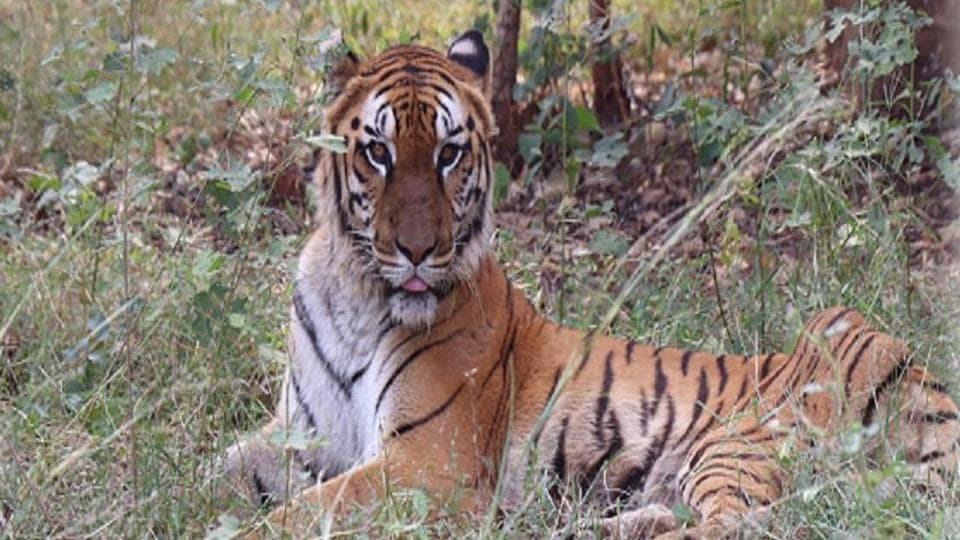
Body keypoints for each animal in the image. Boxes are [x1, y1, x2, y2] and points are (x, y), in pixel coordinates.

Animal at [225, 31, 960, 536]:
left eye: (449, 153)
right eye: (377, 152)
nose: (416, 250)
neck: (356, 297)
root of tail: (928, 386)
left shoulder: (428, 464)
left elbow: (302, 516)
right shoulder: (300, 433)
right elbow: (225, 470)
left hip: (748, 433)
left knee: (744, 526)